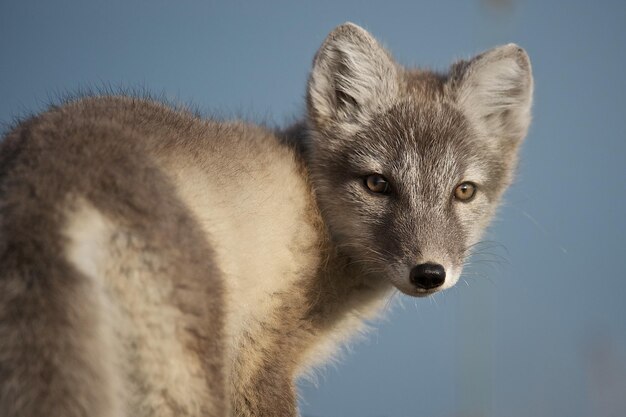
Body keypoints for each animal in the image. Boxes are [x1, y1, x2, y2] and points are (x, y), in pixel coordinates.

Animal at [0, 23, 532, 416]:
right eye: (377, 183)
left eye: (464, 191)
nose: (428, 273)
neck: (313, 205)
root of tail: (53, 174)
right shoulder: (259, 359)